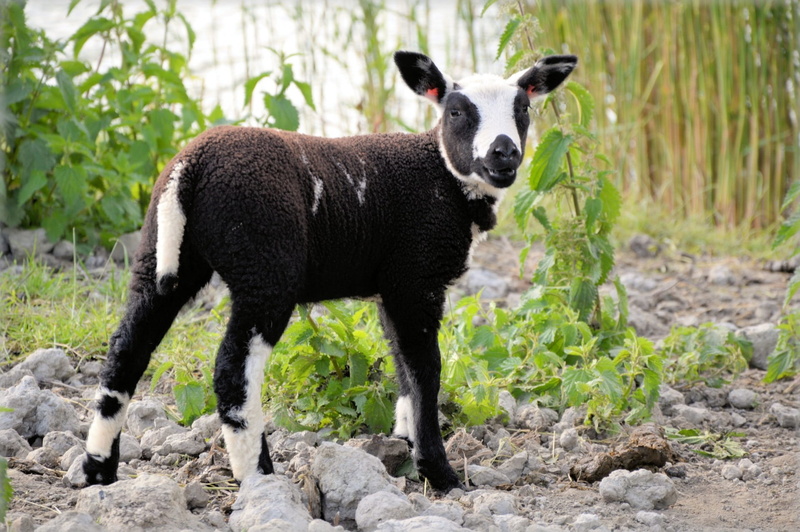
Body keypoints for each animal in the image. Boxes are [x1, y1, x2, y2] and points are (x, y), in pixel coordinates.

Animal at [82, 50, 577, 491]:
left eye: (524, 108)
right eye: (456, 111)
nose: (504, 153)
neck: (441, 174)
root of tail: (191, 166)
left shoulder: (392, 287)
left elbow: (402, 366)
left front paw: (404, 442)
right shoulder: (415, 278)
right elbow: (425, 371)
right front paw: (438, 472)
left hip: (163, 256)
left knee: (126, 349)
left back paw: (98, 467)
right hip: (266, 268)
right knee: (232, 370)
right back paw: (257, 475)